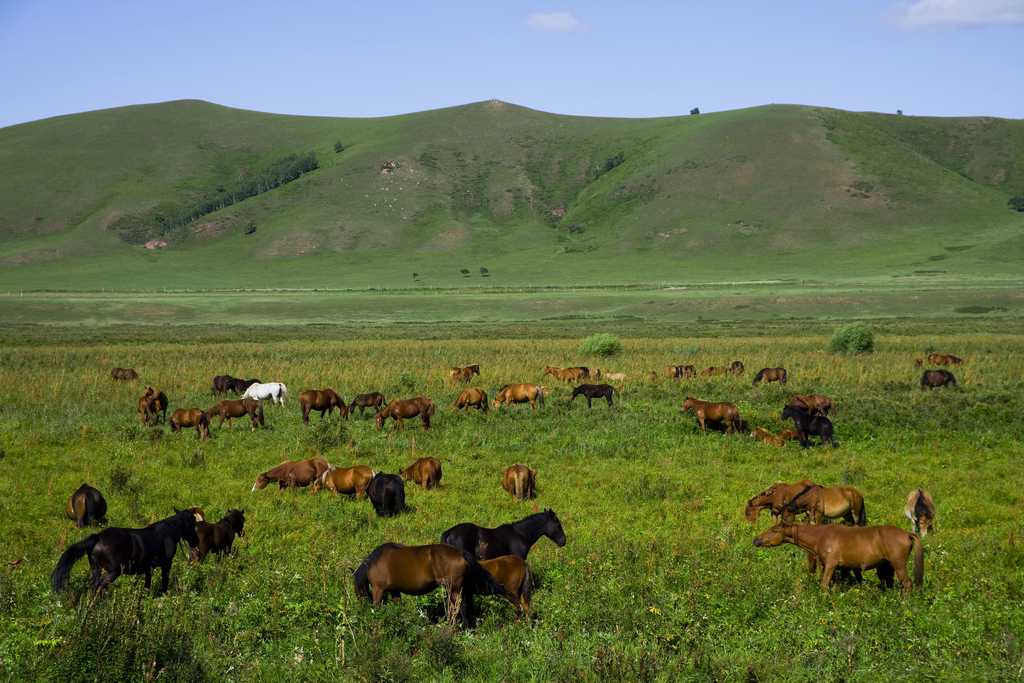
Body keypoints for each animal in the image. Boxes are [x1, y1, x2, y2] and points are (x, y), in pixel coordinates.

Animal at [50, 507, 199, 598]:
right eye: (193, 523)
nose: (196, 542)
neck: (167, 533)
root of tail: (97, 537)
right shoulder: (166, 565)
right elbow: (164, 583)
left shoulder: (149, 568)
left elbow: (147, 586)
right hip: (112, 572)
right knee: (100, 587)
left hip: (96, 569)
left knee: (93, 587)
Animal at [354, 544, 509, 630]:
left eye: (357, 591)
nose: (360, 610)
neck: (374, 562)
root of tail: (461, 553)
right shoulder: (395, 591)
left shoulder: (378, 589)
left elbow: (377, 608)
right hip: (458, 589)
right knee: (461, 608)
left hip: (452, 588)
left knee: (457, 608)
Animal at [753, 524, 929, 593]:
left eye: (774, 530)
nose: (755, 539)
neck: (821, 536)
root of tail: (907, 533)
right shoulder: (832, 567)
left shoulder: (830, 565)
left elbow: (823, 586)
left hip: (898, 565)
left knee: (908, 584)